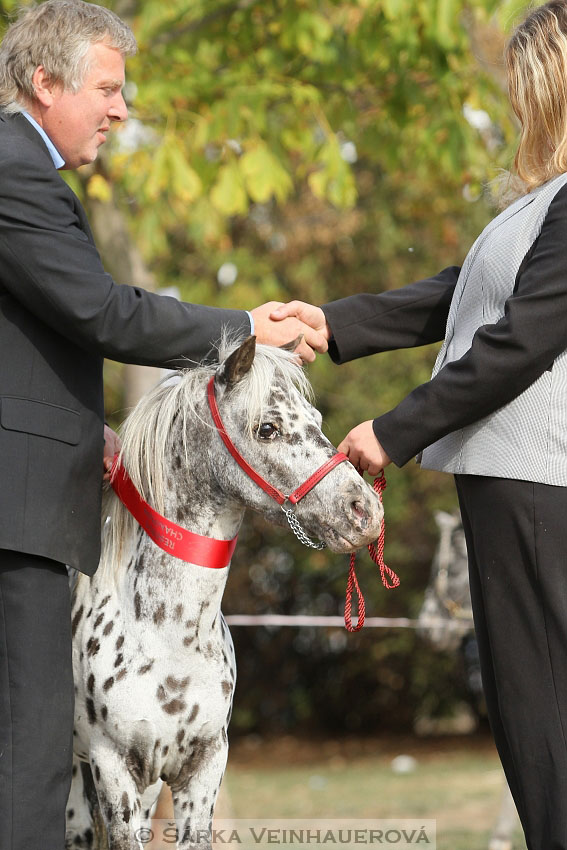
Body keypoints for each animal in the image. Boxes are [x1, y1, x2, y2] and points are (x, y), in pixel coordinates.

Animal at [69, 334, 384, 844]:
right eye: (267, 429)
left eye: (315, 421)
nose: (365, 511)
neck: (165, 633)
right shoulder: (115, 771)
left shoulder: (199, 770)